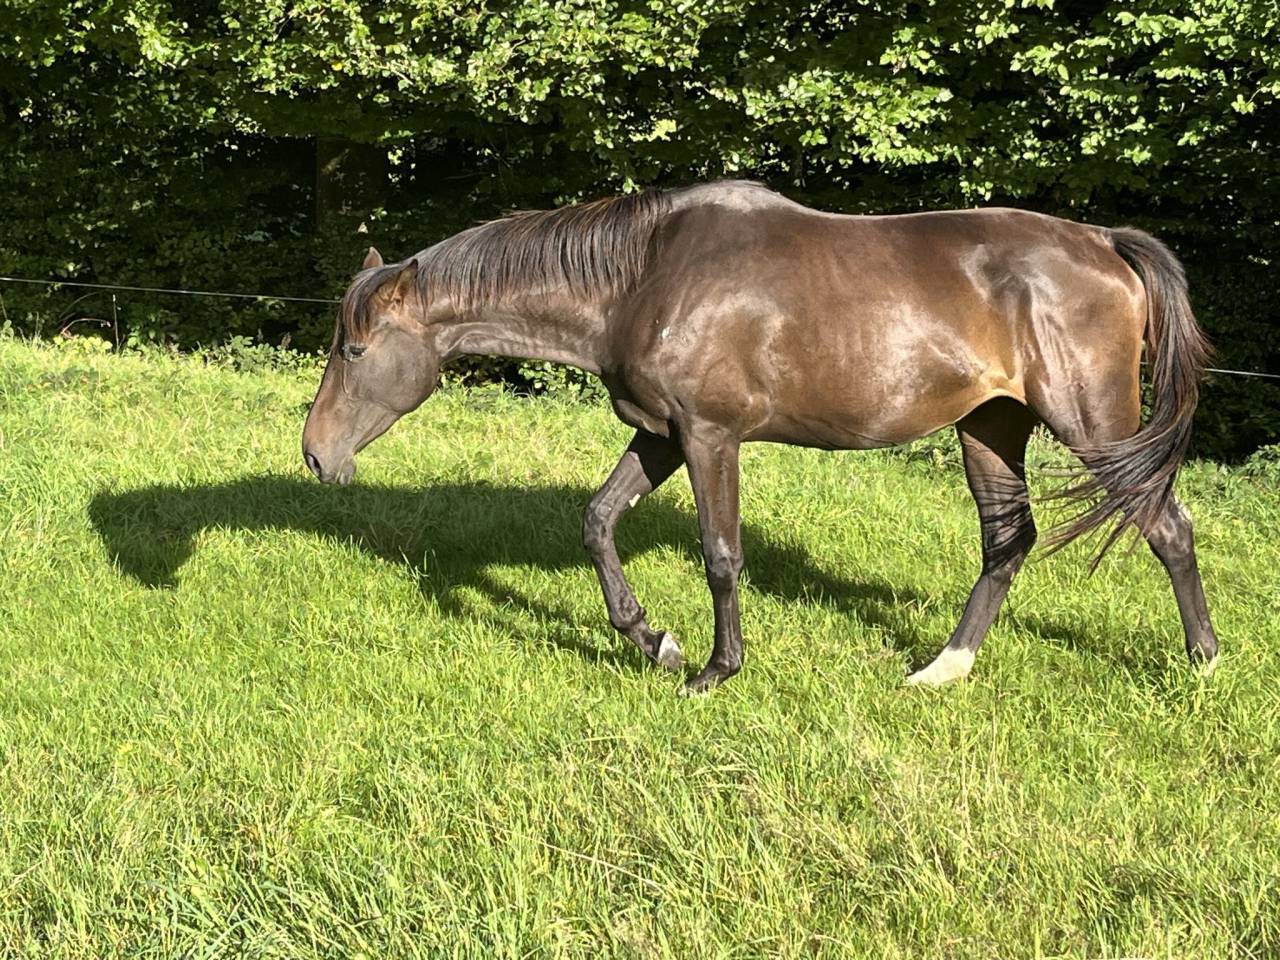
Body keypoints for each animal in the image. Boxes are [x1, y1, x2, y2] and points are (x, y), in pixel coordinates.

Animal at [301, 180, 1218, 694]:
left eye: (354, 350)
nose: (315, 454)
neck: (643, 275)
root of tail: (1104, 244)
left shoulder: (709, 437)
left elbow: (720, 553)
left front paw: (714, 669)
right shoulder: (661, 437)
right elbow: (597, 522)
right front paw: (655, 642)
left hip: (1090, 425)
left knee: (1167, 527)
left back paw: (1203, 663)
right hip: (991, 427)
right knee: (1008, 541)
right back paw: (942, 670)